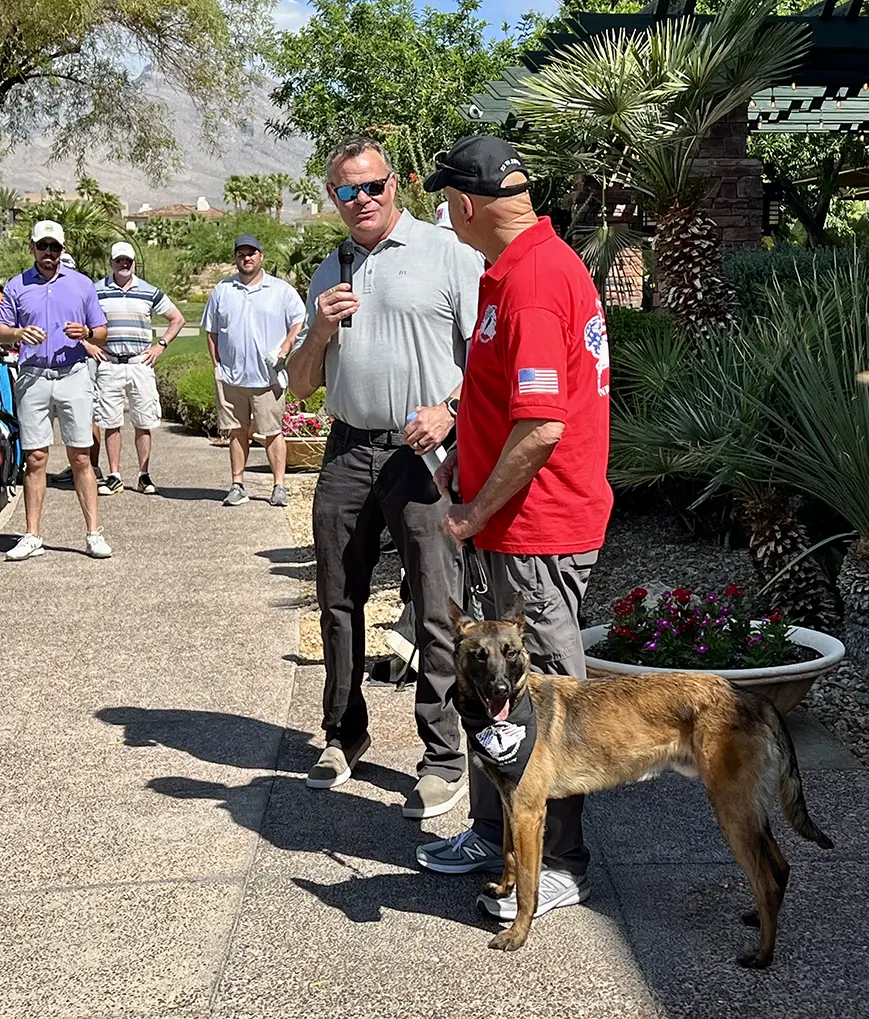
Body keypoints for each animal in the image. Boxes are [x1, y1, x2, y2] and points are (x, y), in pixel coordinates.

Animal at [448, 596, 834, 967]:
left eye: (510, 652)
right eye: (479, 655)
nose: (500, 689)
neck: (512, 713)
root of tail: (750, 696)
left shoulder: (528, 814)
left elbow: (528, 885)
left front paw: (518, 934)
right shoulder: (510, 804)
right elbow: (509, 853)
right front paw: (503, 889)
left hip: (733, 811)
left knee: (766, 880)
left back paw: (763, 955)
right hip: (749, 812)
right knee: (779, 867)